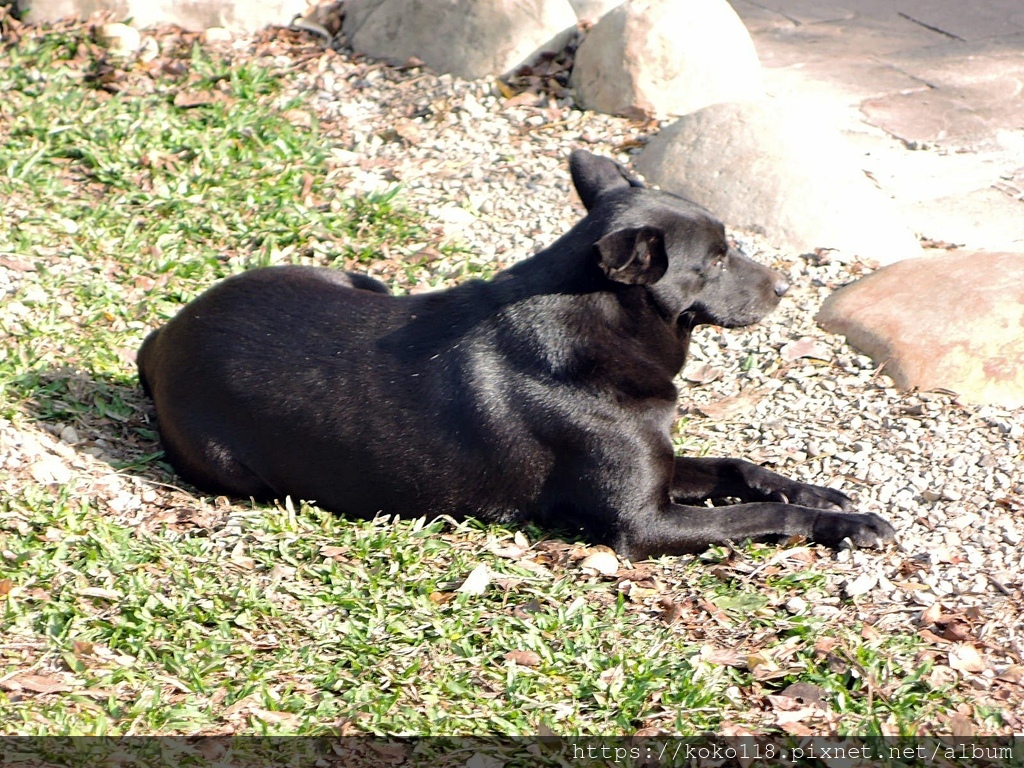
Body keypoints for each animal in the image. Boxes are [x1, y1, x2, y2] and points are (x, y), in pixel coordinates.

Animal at [138, 150, 897, 561]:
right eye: (713, 260)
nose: (787, 287)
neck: (600, 324)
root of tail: (167, 336)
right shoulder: (645, 524)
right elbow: (759, 516)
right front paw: (848, 524)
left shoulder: (662, 466)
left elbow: (741, 468)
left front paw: (820, 492)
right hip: (236, 470)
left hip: (353, 280)